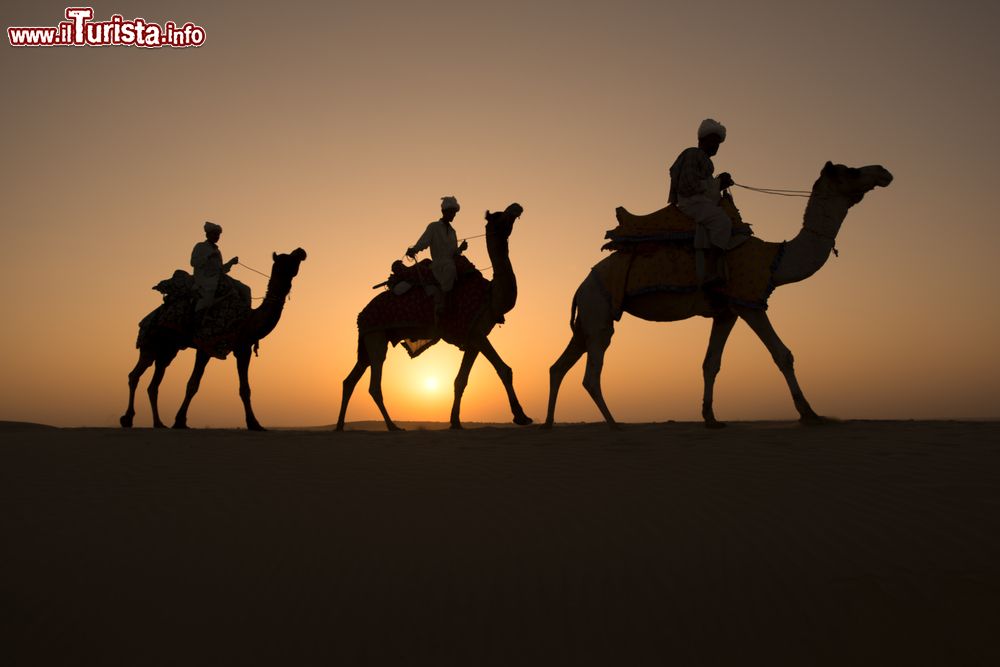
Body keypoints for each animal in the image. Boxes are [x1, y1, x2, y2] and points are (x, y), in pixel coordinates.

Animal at [118, 248, 304, 430]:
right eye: (287, 259)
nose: (301, 251)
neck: (247, 320)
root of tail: (149, 317)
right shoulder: (205, 344)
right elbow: (193, 384)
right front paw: (179, 421)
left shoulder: (243, 348)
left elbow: (245, 389)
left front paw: (254, 423)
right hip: (151, 343)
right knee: (134, 375)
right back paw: (127, 419)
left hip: (168, 349)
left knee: (154, 384)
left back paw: (158, 423)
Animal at [338, 205, 532, 434]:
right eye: (501, 216)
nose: (517, 207)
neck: (490, 296)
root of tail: (361, 314)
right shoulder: (476, 332)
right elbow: (504, 369)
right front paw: (521, 416)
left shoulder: (473, 337)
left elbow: (461, 380)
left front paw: (455, 422)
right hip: (376, 335)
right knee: (374, 384)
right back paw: (393, 426)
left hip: (370, 340)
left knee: (350, 379)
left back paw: (340, 426)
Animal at [544, 164, 896, 430]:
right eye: (850, 171)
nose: (883, 171)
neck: (774, 259)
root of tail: (580, 286)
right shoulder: (749, 301)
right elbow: (782, 354)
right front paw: (811, 414)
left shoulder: (727, 311)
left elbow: (711, 363)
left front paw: (711, 418)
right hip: (599, 310)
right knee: (591, 374)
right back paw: (614, 424)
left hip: (588, 317)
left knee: (559, 365)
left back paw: (548, 424)